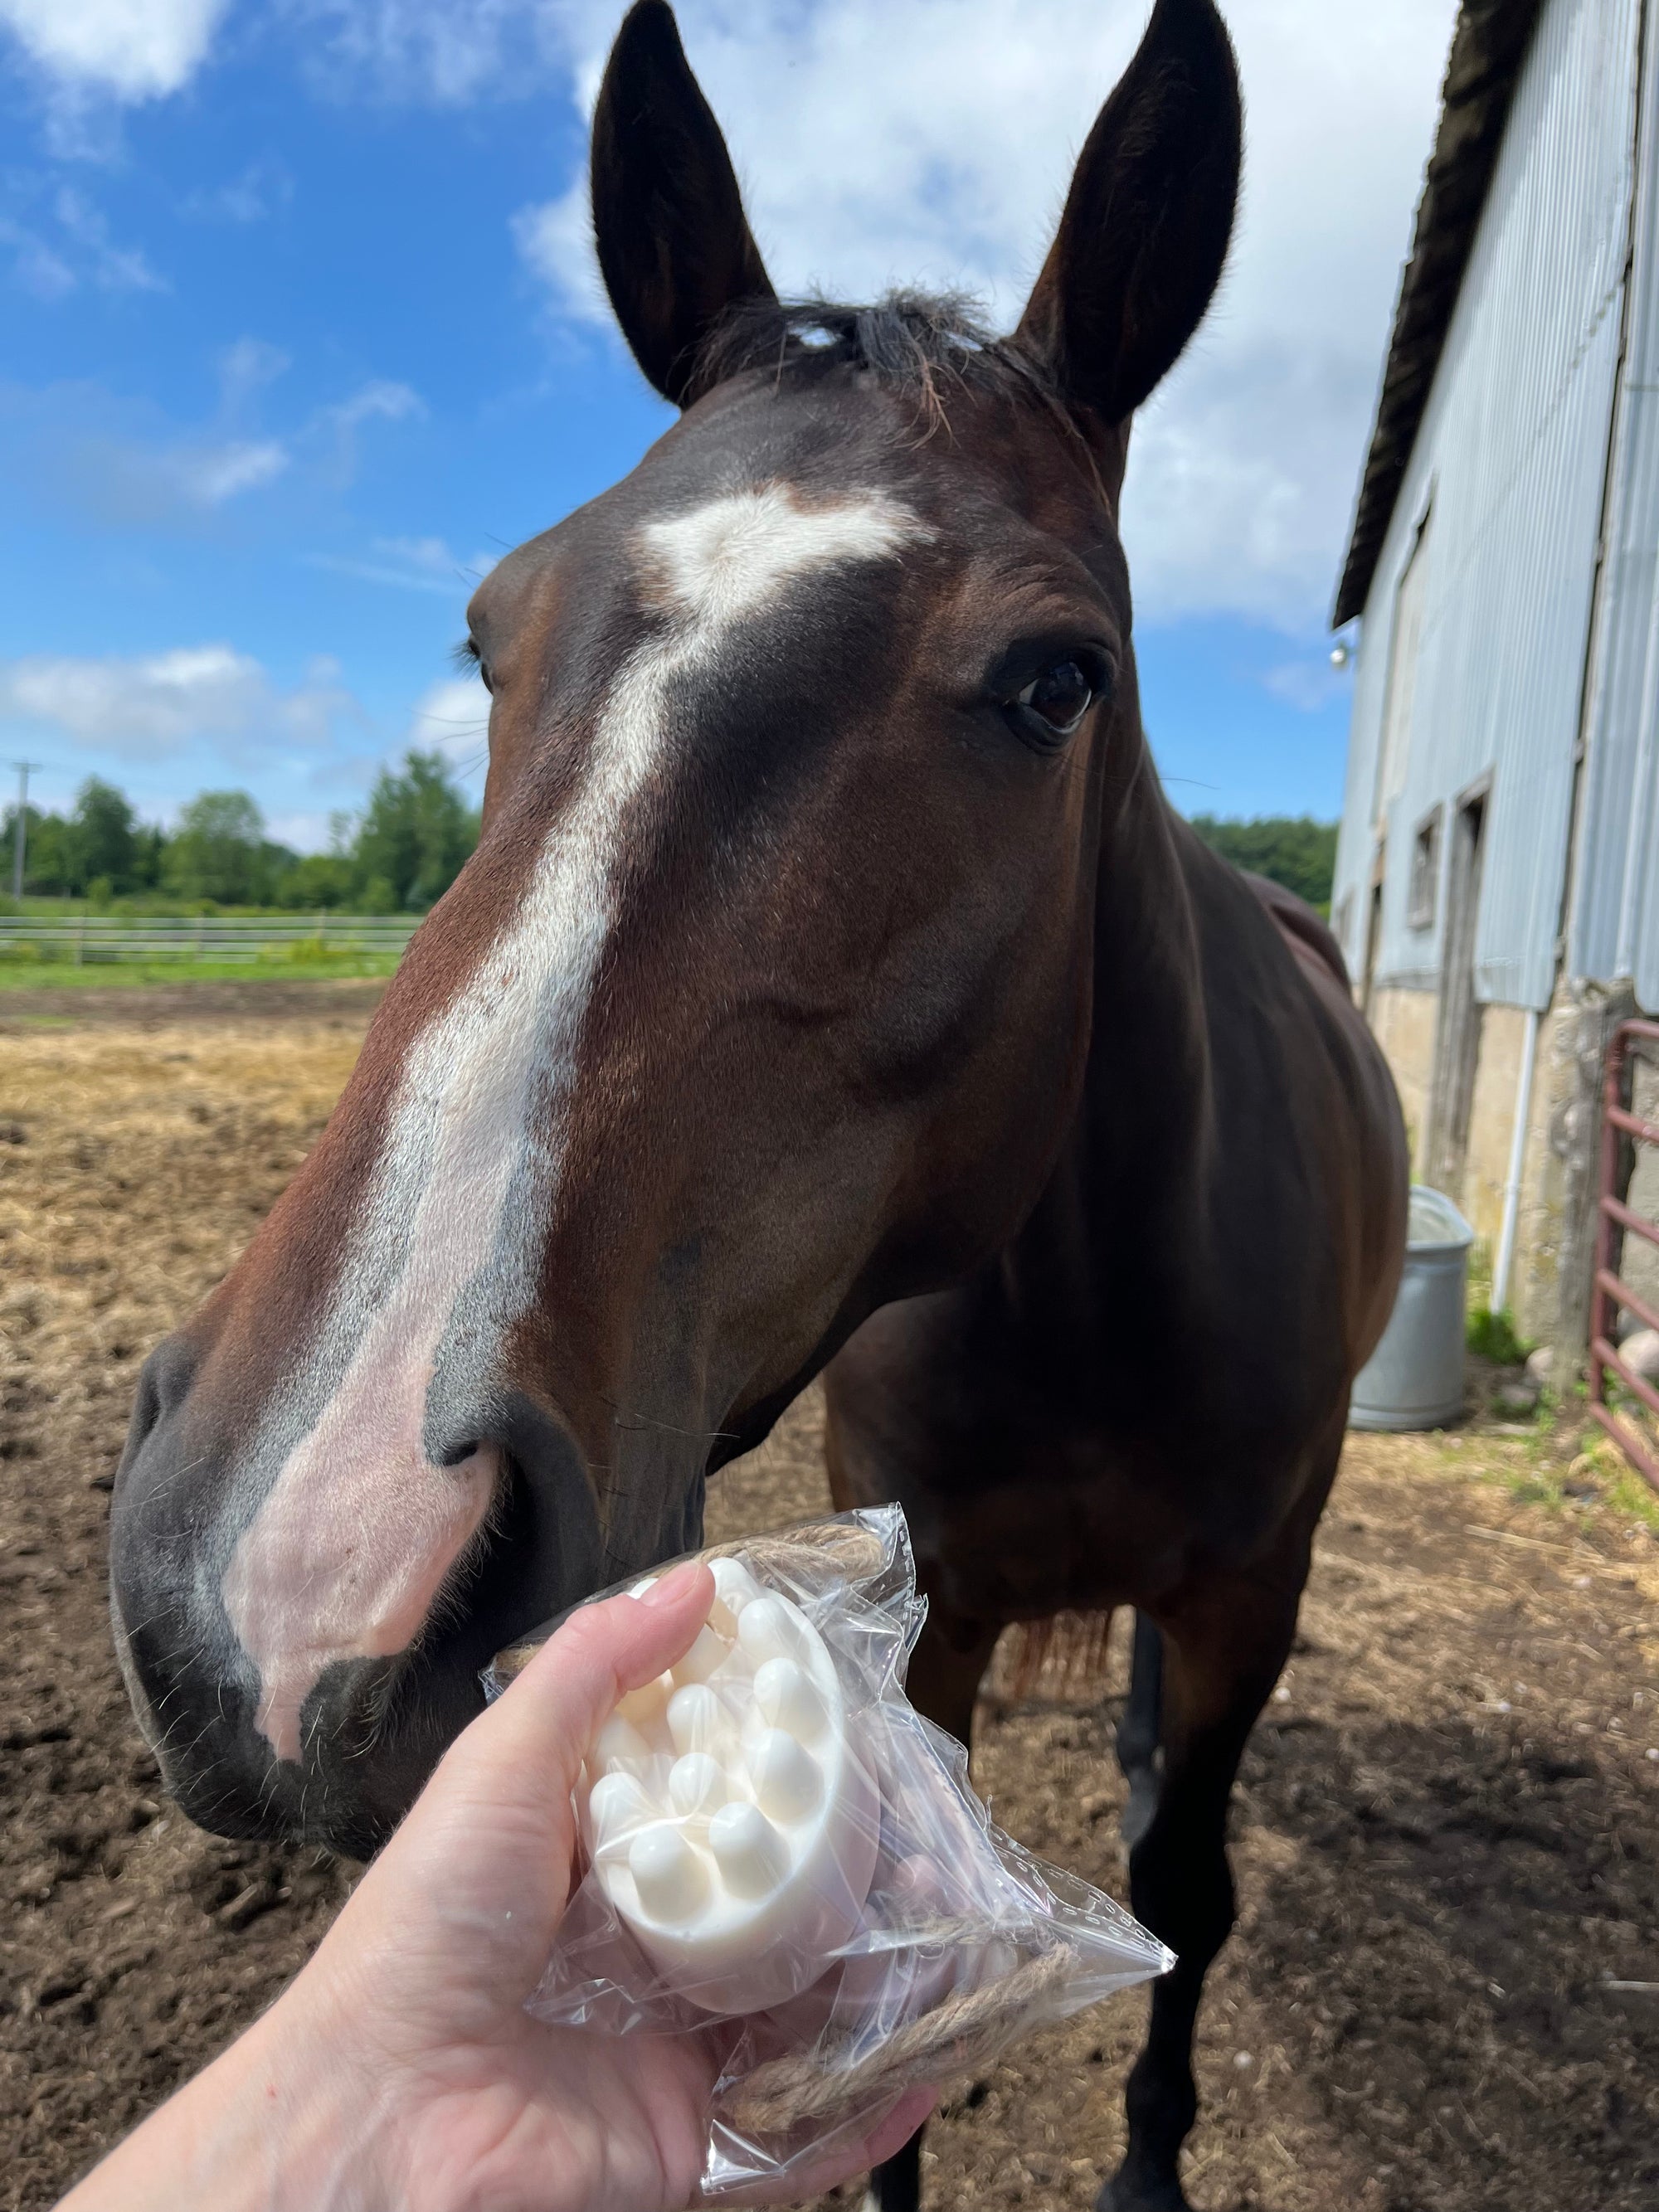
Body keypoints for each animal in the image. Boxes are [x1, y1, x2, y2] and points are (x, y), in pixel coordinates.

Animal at [108, 3, 1407, 2204]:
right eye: (488, 629)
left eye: (1058, 678)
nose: (304, 1561)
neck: (1087, 1303)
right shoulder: (934, 1595)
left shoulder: (1251, 1589)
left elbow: (1184, 1887)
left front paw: (1148, 2158)